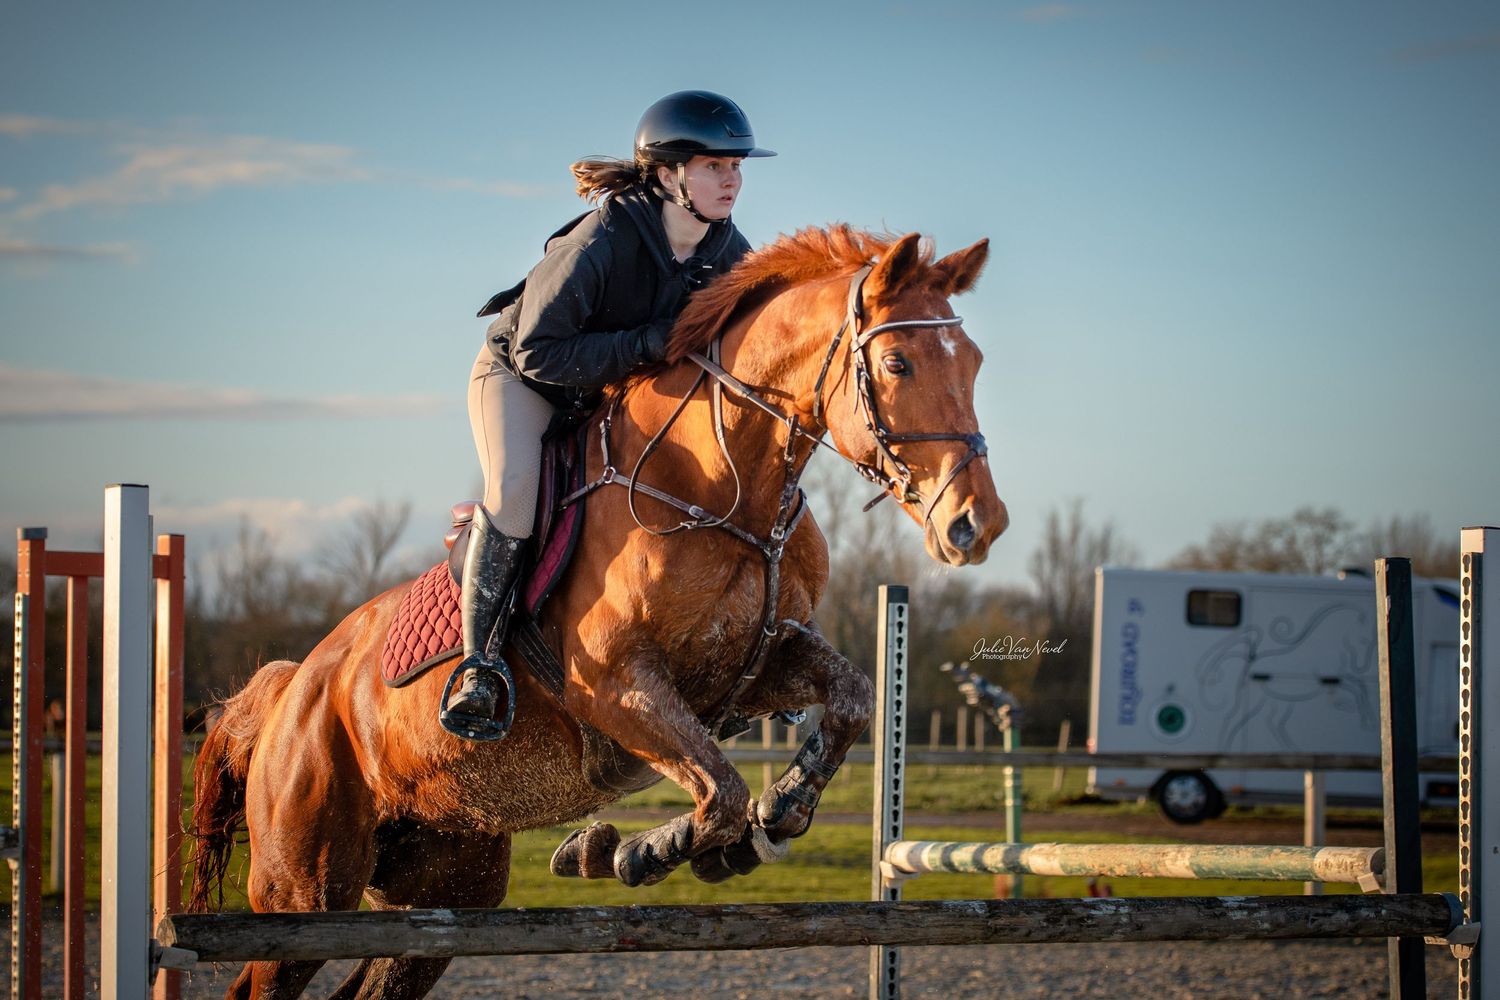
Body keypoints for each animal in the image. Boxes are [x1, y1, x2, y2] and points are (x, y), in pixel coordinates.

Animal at [188, 225, 1008, 999]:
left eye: (975, 364)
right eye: (898, 364)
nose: (978, 524)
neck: (724, 489)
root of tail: (294, 688)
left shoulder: (751, 668)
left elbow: (850, 700)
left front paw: (774, 816)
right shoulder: (614, 685)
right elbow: (721, 792)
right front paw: (629, 850)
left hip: (444, 889)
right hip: (307, 888)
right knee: (264, 972)